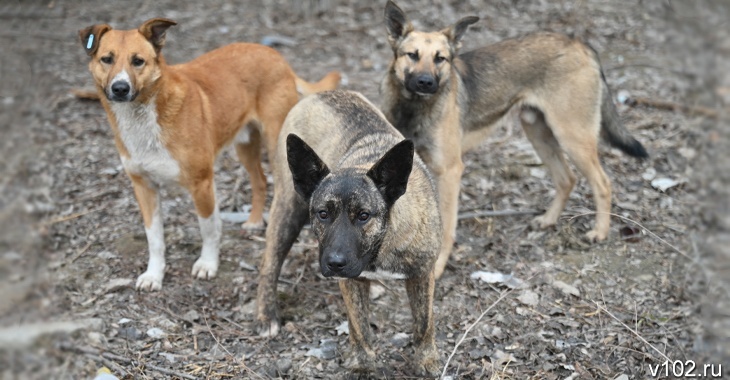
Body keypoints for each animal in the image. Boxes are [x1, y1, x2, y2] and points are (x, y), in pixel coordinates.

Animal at [78, 17, 340, 290]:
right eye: (106, 59)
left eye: (138, 61)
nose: (120, 88)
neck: (146, 117)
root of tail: (274, 54)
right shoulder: (144, 187)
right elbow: (155, 238)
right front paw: (154, 274)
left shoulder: (201, 183)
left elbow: (209, 228)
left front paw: (207, 264)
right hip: (244, 147)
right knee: (259, 180)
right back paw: (255, 221)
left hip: (275, 143)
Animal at [378, 1, 644, 278]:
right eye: (412, 55)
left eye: (441, 58)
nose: (426, 82)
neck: (412, 107)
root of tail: (579, 43)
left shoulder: (449, 171)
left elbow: (446, 226)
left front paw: (438, 265)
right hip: (538, 133)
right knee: (567, 179)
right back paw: (548, 220)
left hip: (572, 137)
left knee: (602, 183)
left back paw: (600, 232)